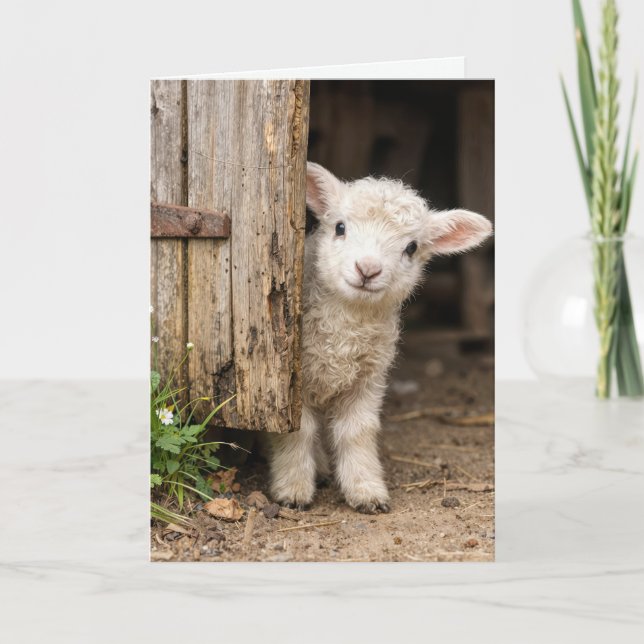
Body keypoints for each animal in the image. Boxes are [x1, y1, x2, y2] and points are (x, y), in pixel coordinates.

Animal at [269, 162, 492, 514]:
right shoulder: (293, 383)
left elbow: (358, 433)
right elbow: (298, 432)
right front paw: (292, 488)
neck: (346, 326)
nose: (368, 269)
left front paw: (366, 490)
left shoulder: (369, 379)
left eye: (411, 247)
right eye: (340, 227)